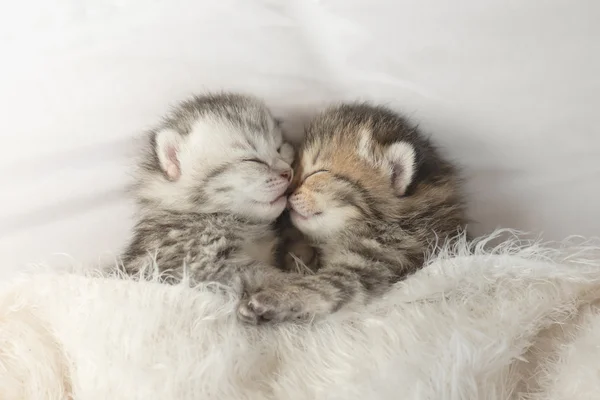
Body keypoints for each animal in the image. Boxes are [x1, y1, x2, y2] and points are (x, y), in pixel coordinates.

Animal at [236, 101, 468, 324]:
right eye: (295, 167)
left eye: (318, 173)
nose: (288, 190)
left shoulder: (377, 261)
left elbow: (322, 287)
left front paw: (271, 300)